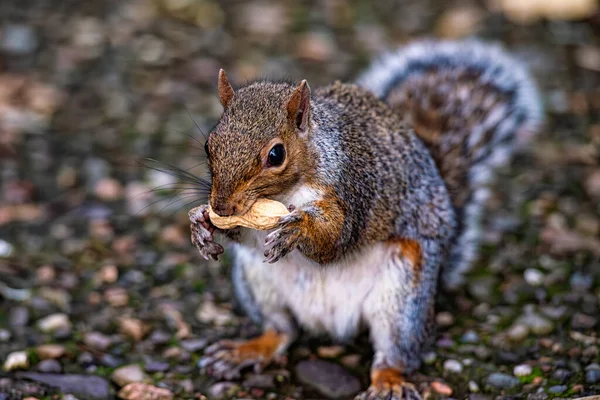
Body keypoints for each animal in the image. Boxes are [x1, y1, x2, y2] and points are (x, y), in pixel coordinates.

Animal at [189, 39, 544, 400]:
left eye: (276, 154)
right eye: (208, 145)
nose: (222, 206)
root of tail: (331, 322)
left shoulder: (354, 187)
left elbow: (336, 239)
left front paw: (297, 229)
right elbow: (245, 233)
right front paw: (203, 223)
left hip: (403, 297)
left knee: (394, 352)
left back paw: (389, 381)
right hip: (257, 283)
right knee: (282, 331)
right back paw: (247, 350)